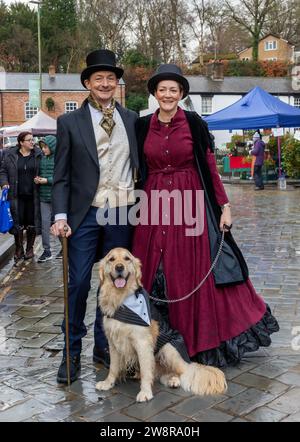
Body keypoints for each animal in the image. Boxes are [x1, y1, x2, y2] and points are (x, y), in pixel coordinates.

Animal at [96, 247, 227, 402]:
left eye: (127, 258)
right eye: (111, 259)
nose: (119, 267)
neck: (121, 300)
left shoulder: (142, 343)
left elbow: (146, 371)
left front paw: (145, 392)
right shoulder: (113, 342)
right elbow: (113, 367)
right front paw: (108, 383)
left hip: (169, 349)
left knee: (184, 371)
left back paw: (175, 380)